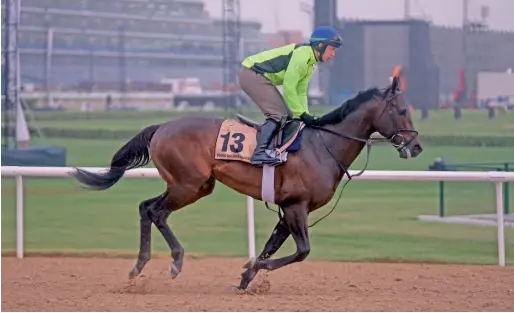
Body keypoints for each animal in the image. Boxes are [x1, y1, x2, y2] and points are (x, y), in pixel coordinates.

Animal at [71, 75, 420, 290]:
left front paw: (246, 277)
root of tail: (162, 126)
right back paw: (175, 261)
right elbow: (302, 251)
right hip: (187, 184)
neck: (323, 146)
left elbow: (271, 247)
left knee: (146, 208)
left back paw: (139, 266)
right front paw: (253, 269)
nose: (416, 147)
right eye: (403, 110)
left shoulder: (289, 209)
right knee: (156, 211)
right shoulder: (296, 207)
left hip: (196, 185)